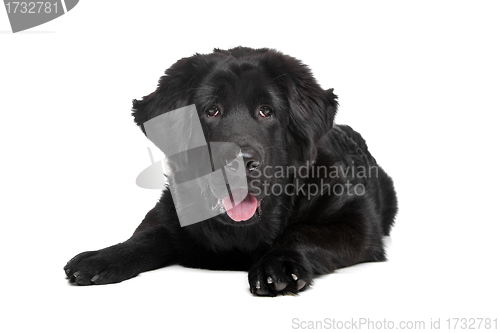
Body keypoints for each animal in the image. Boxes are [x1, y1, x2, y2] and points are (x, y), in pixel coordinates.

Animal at [63, 46, 398, 296]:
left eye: (266, 111)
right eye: (211, 111)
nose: (237, 161)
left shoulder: (358, 222)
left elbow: (303, 232)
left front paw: (277, 265)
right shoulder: (169, 211)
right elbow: (148, 235)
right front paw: (102, 257)